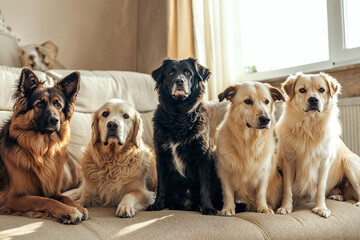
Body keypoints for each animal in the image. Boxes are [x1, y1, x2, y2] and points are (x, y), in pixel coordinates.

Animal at [0, 67, 87, 223]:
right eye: (39, 104)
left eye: (58, 105)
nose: (54, 120)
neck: (42, 150)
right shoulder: (13, 198)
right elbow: (44, 200)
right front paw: (69, 211)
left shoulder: (52, 190)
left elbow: (64, 197)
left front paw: (77, 206)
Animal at [147, 57, 222, 215]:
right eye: (170, 73)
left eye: (188, 73)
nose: (179, 81)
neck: (178, 115)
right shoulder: (161, 156)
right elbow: (161, 185)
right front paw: (157, 204)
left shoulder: (203, 157)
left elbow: (205, 187)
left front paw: (208, 208)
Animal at [217, 81, 284, 215]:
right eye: (248, 101)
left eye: (266, 101)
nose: (266, 119)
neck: (248, 141)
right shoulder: (224, 170)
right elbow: (228, 193)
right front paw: (228, 208)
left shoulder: (263, 171)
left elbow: (261, 192)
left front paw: (263, 207)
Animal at [276, 72, 360, 218]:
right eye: (302, 90)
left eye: (321, 89)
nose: (313, 100)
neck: (309, 127)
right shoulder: (289, 161)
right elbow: (287, 189)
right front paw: (286, 207)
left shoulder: (324, 162)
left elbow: (320, 188)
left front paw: (321, 208)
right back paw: (337, 195)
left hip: (350, 163)